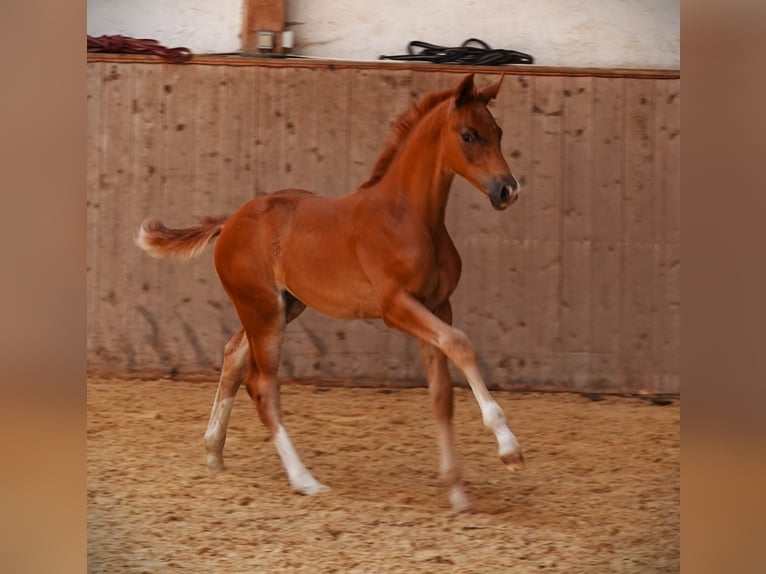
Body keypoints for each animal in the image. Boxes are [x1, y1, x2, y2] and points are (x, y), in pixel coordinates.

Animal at [135, 73, 524, 512]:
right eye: (468, 135)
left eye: (499, 132)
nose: (508, 189)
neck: (408, 217)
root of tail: (229, 220)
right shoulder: (397, 307)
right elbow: (461, 345)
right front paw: (508, 448)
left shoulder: (439, 305)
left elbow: (441, 393)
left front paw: (456, 491)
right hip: (264, 312)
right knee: (262, 385)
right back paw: (304, 479)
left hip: (283, 306)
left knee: (233, 356)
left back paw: (214, 451)